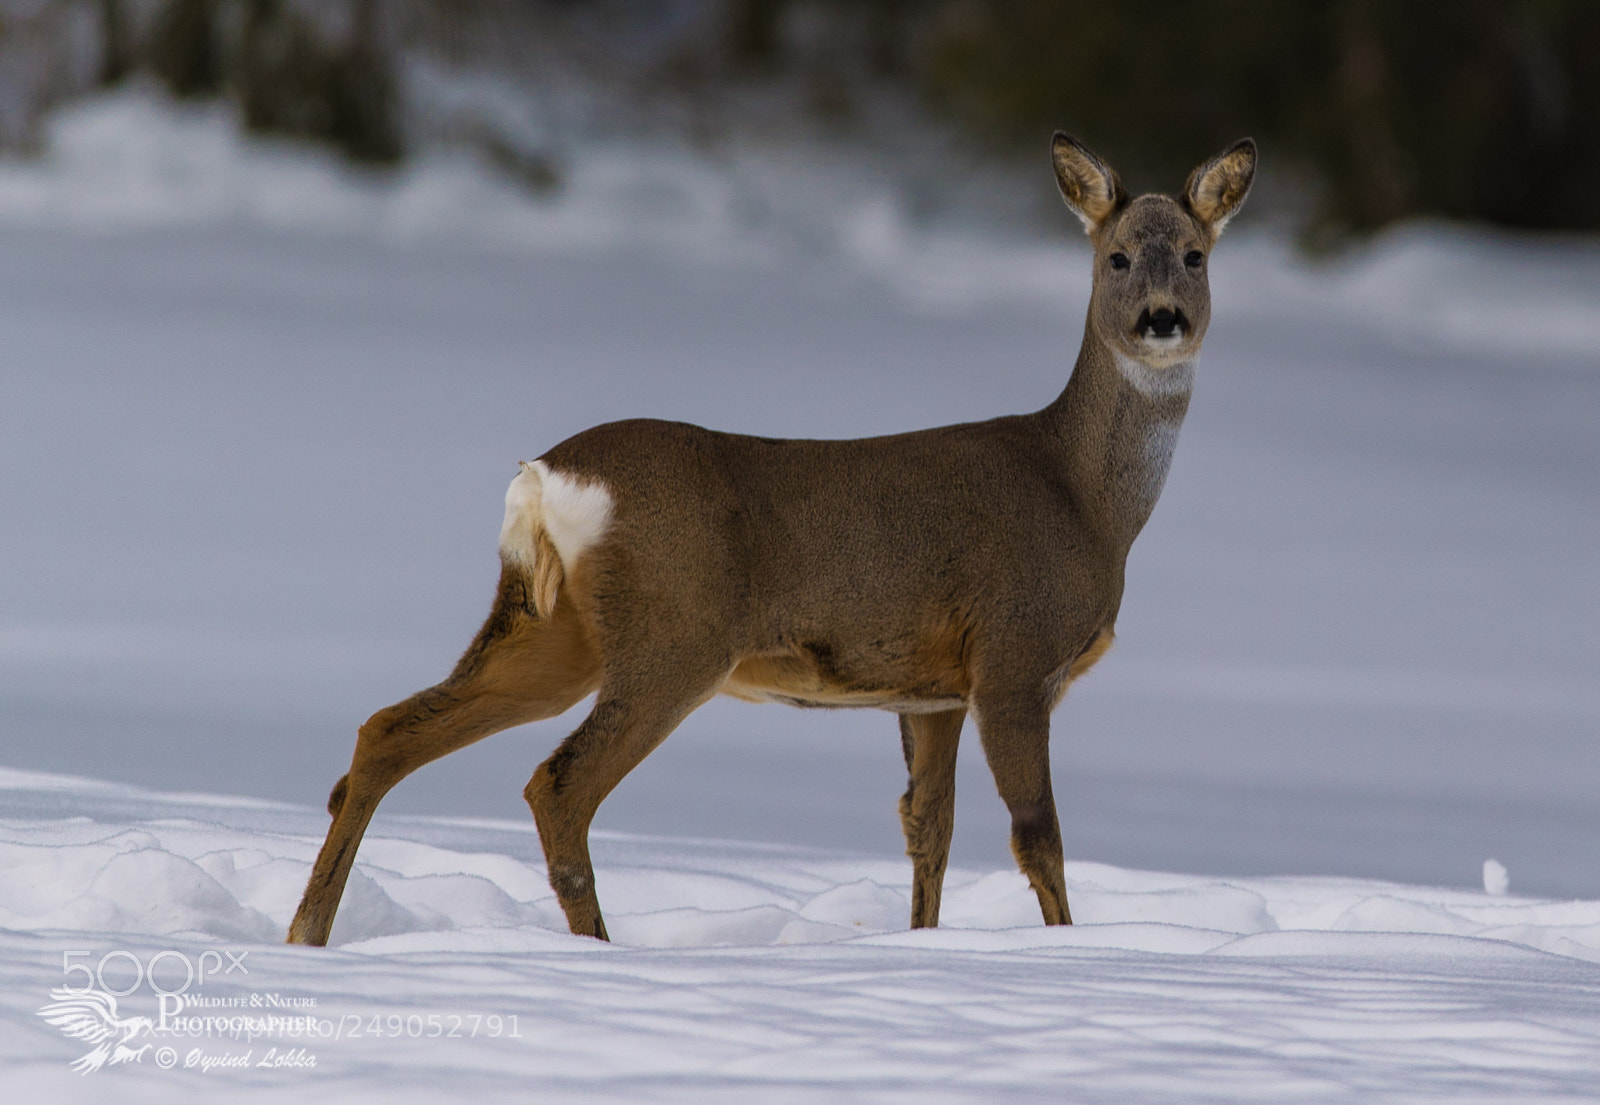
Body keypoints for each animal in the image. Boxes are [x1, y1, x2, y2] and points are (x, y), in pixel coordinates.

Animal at [286, 134, 1256, 946]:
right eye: (1116, 255)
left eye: (1197, 256)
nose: (1162, 318)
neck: (1086, 501)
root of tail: (544, 475)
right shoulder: (1015, 660)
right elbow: (1037, 836)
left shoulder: (933, 689)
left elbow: (927, 830)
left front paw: (925, 949)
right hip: (675, 635)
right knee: (556, 783)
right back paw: (595, 950)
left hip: (550, 628)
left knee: (386, 730)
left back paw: (309, 933)